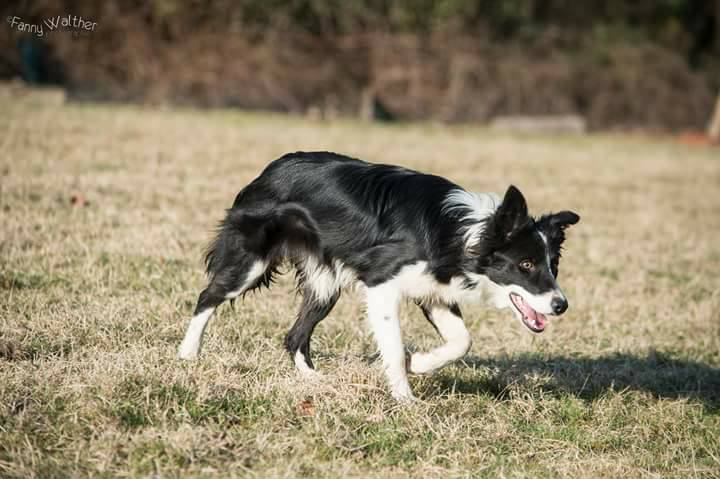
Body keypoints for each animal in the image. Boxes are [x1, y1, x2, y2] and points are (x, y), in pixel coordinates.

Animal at [179, 153, 580, 402]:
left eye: (552, 265)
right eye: (525, 264)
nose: (561, 305)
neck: (462, 233)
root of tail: (269, 169)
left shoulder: (434, 289)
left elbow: (461, 341)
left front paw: (419, 364)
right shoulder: (382, 283)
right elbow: (395, 346)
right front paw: (406, 399)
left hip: (325, 284)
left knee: (295, 335)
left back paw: (314, 380)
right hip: (250, 263)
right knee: (208, 297)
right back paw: (187, 355)